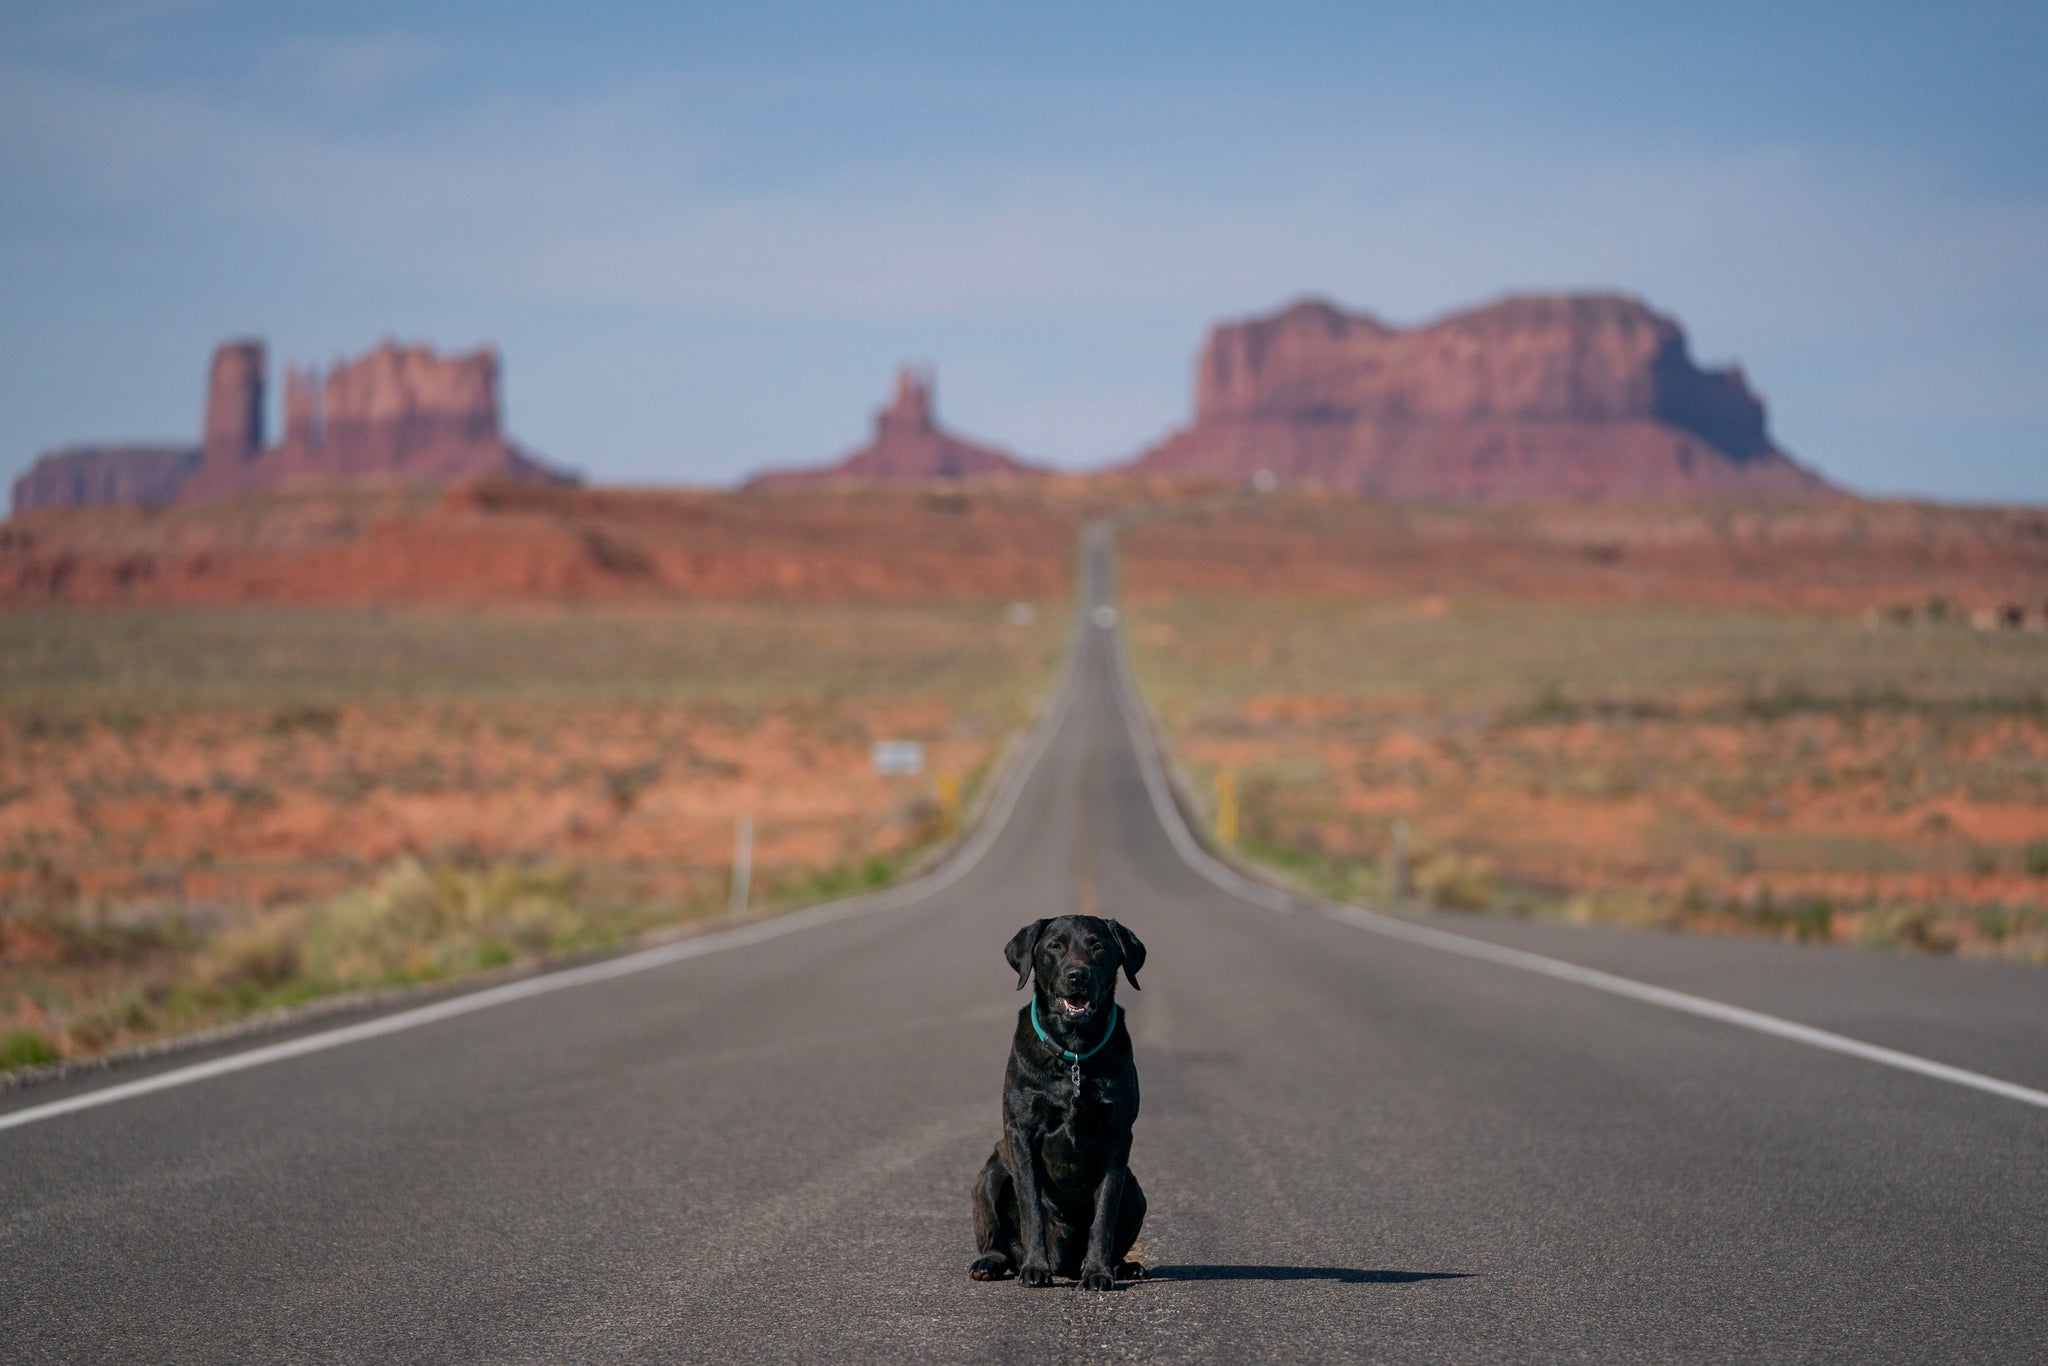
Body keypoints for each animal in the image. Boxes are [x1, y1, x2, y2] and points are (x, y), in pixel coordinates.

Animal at [966, 917, 1146, 1294]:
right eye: (1054, 946)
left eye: (1098, 946)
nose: (1078, 974)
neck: (1074, 1051)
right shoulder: (1021, 1133)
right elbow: (1031, 1207)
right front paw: (1035, 1269)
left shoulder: (1117, 1137)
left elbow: (1104, 1213)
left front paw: (1098, 1273)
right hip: (990, 1174)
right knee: (997, 1239)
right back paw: (989, 1263)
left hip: (1136, 1191)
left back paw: (1123, 1266)